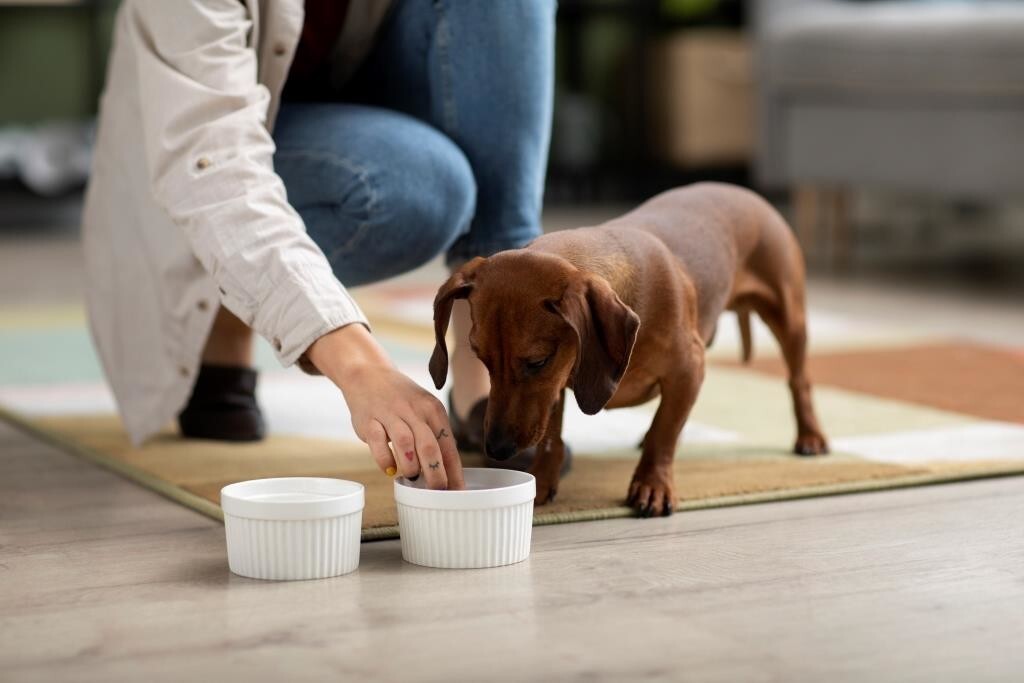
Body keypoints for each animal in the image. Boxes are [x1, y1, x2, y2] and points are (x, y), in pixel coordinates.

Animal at [428, 184, 827, 516]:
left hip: (789, 317)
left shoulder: (689, 370)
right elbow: (552, 438)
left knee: (799, 381)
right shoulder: (557, 387)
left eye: (537, 361)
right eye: (481, 358)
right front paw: (541, 480)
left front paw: (653, 485)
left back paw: (810, 436)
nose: (496, 449)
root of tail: (744, 191)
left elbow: (664, 436)